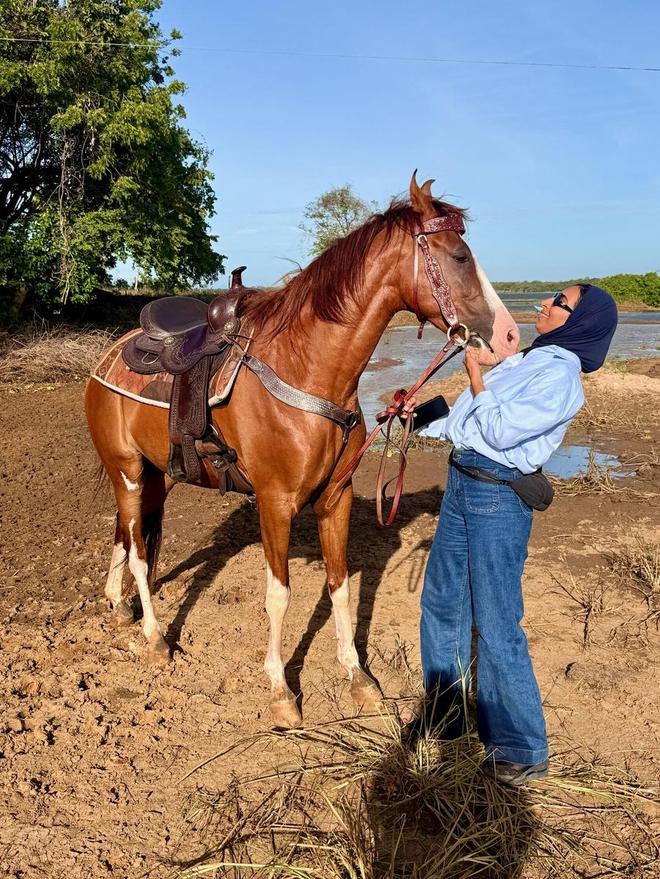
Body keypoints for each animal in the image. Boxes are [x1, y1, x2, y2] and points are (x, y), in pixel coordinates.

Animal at [85, 173, 520, 728]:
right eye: (461, 256)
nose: (509, 336)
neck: (307, 369)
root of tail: (110, 354)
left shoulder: (335, 498)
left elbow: (339, 586)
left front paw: (357, 677)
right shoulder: (275, 503)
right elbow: (279, 595)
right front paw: (279, 691)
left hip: (152, 476)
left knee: (125, 536)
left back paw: (119, 607)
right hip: (128, 472)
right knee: (140, 554)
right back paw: (155, 638)